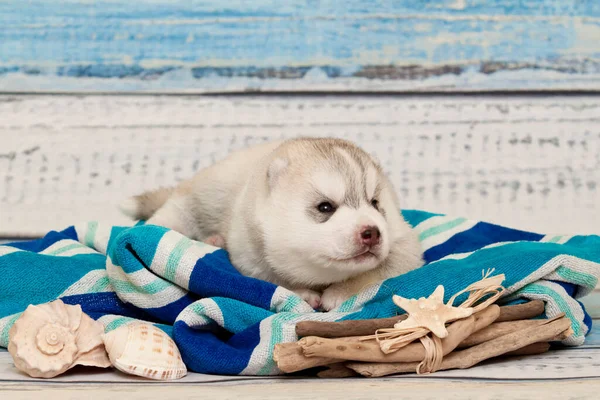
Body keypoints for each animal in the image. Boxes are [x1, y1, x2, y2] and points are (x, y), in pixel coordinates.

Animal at [122, 138, 422, 310]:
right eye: (325, 207)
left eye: (375, 202)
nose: (372, 232)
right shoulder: (250, 253)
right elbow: (273, 279)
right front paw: (302, 293)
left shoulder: (404, 245)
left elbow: (379, 270)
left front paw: (341, 292)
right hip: (204, 191)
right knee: (176, 210)